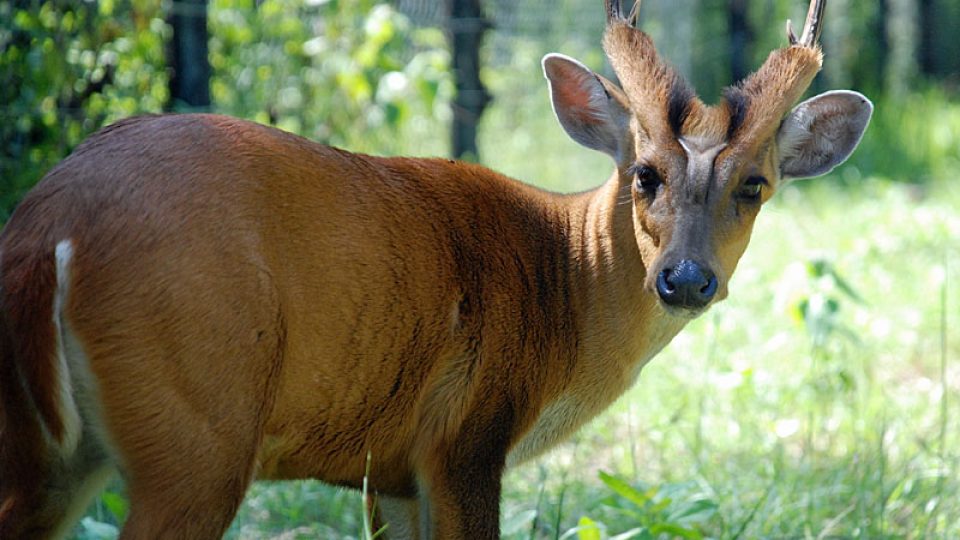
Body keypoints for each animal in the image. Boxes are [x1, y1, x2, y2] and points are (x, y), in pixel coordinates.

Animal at [0, 2, 872, 536]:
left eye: (754, 185)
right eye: (646, 174)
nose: (685, 279)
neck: (562, 282)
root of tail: (49, 228)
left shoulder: (388, 469)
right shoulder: (464, 435)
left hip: (52, 452)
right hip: (195, 429)